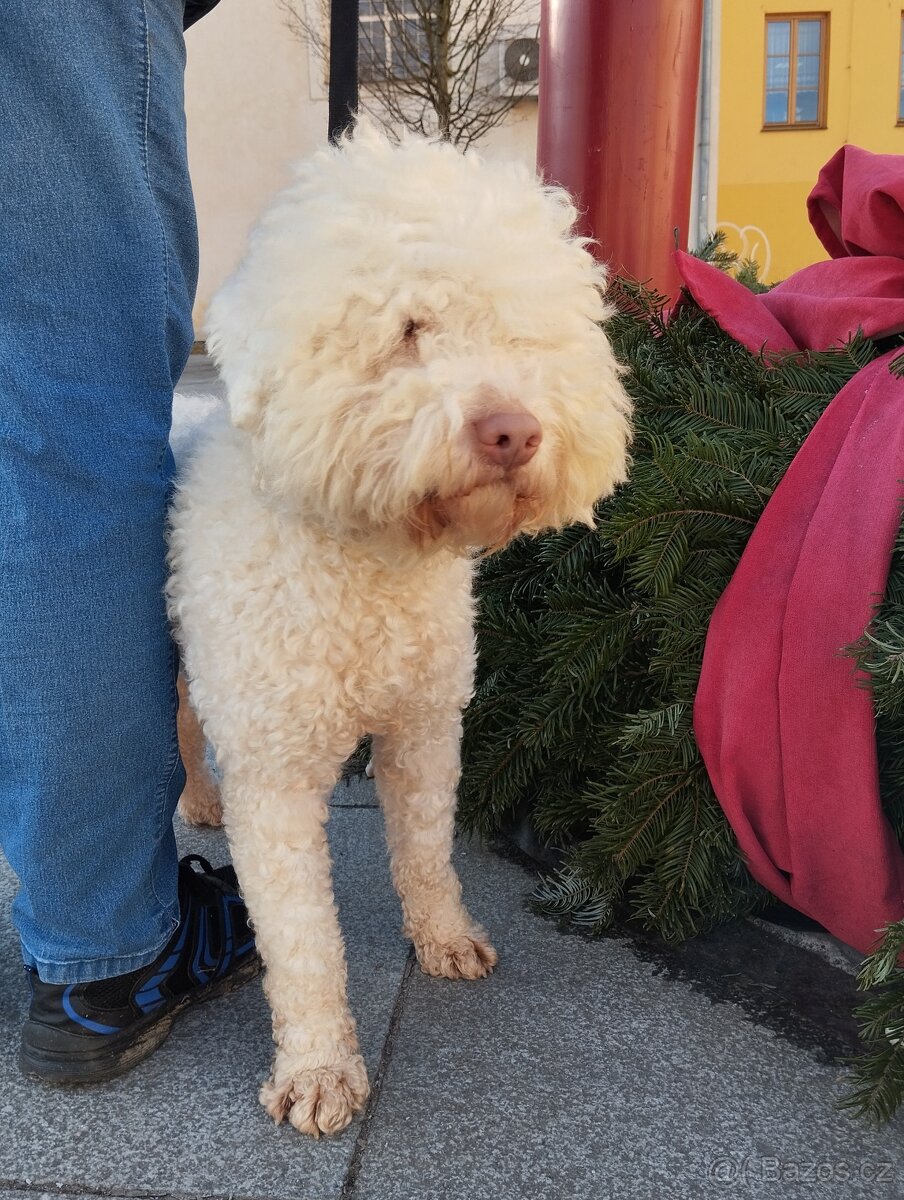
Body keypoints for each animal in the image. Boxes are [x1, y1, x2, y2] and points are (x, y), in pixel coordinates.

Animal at [165, 126, 629, 1137]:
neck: (373, 559)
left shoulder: (425, 724)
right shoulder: (274, 765)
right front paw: (318, 1069)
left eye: (521, 334)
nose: (511, 431)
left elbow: (424, 846)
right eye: (409, 329)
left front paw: (445, 937)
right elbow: (301, 938)